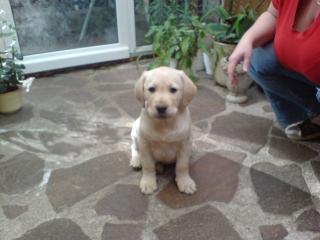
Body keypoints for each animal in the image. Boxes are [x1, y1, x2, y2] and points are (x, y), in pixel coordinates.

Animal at [131, 66, 196, 194]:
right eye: (151, 89)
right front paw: (148, 182)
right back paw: (136, 160)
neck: (165, 124)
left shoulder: (185, 144)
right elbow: (148, 165)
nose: (161, 108)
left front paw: (185, 181)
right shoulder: (144, 144)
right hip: (135, 133)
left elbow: (182, 166)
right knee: (133, 147)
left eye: (173, 90)